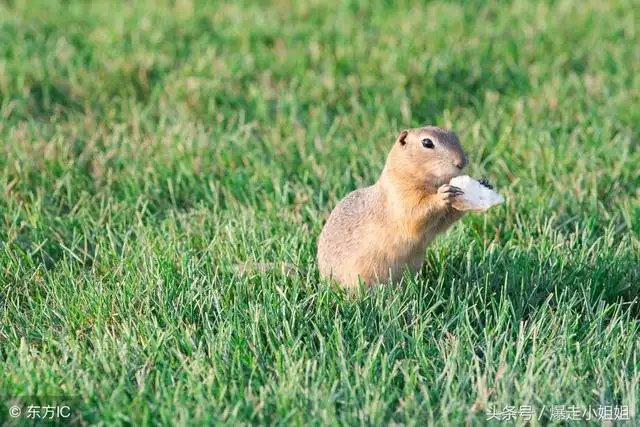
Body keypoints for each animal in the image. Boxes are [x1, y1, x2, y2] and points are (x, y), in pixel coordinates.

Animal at [318, 125, 468, 290]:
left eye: (455, 136)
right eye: (427, 143)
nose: (462, 162)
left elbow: (442, 222)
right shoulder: (399, 195)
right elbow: (414, 215)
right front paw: (442, 195)